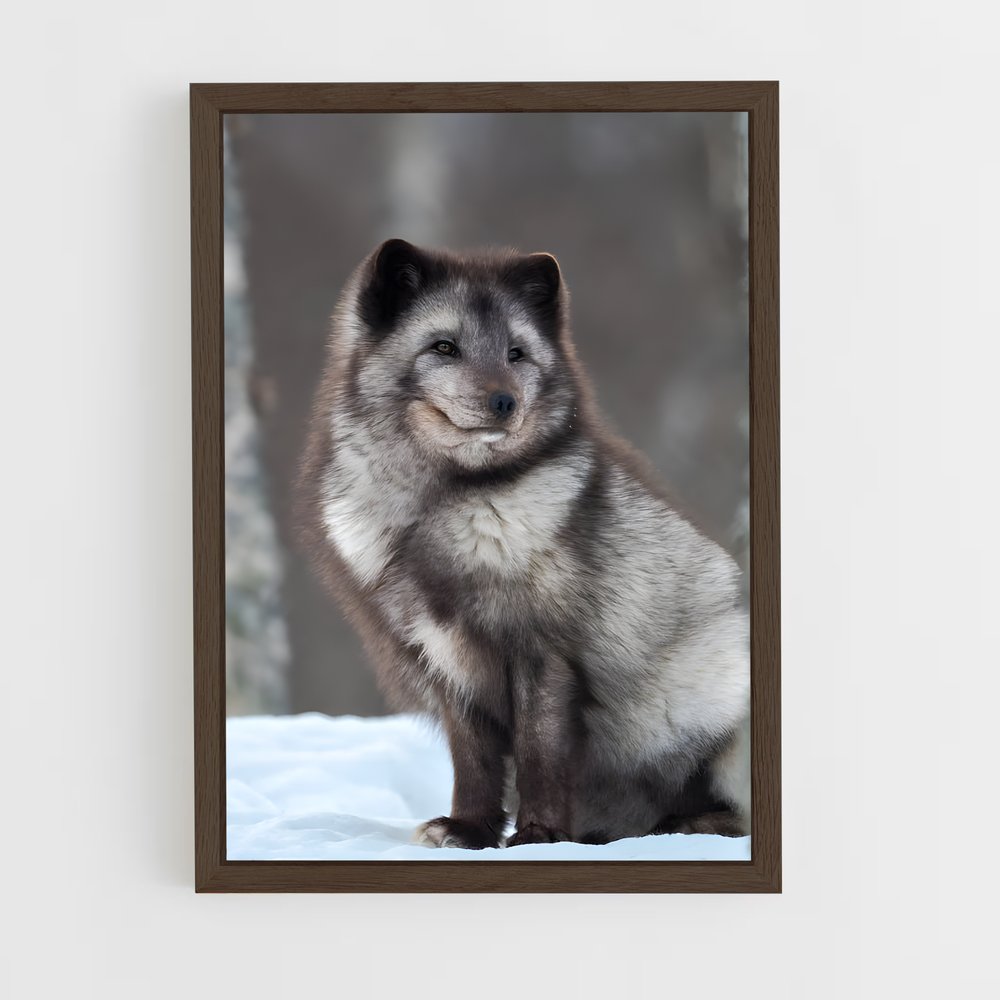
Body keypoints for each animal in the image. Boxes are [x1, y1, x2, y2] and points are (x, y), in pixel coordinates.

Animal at [296, 238, 750, 848]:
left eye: (516, 353)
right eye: (444, 347)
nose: (504, 402)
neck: (443, 503)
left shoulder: (544, 649)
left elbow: (539, 751)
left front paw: (538, 835)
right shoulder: (444, 657)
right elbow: (473, 759)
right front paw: (468, 829)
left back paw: (685, 824)